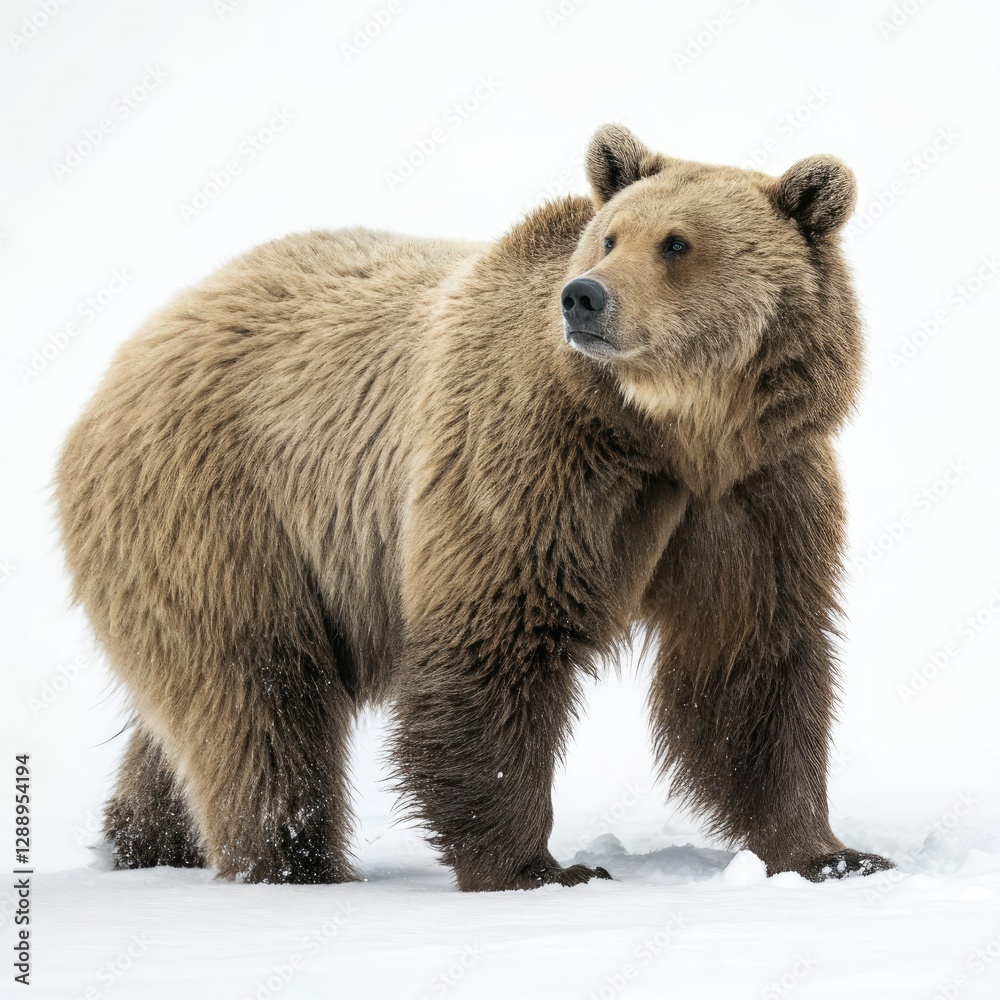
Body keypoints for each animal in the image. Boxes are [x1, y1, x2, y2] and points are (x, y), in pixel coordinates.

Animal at [56, 123, 893, 890]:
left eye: (677, 243)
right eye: (609, 237)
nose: (584, 297)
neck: (669, 432)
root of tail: (133, 348)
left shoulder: (755, 490)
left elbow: (752, 658)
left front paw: (831, 853)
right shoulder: (535, 459)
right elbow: (499, 635)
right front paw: (538, 867)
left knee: (189, 707)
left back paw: (147, 838)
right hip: (223, 510)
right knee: (260, 690)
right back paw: (296, 861)